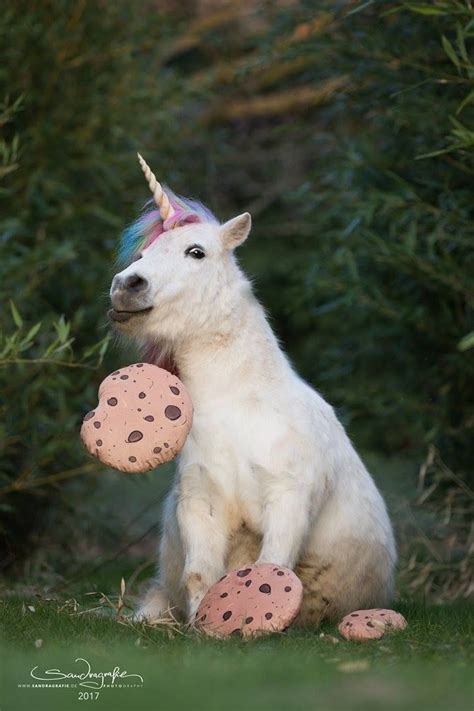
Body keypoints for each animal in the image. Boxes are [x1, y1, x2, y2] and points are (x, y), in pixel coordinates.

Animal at [110, 157, 396, 628]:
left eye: (196, 252)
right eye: (143, 255)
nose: (126, 286)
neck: (240, 412)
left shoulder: (288, 500)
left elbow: (271, 567)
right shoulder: (200, 505)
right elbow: (201, 575)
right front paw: (203, 625)